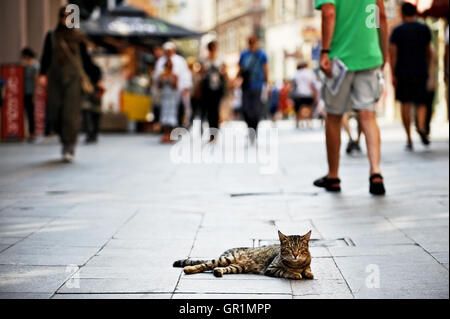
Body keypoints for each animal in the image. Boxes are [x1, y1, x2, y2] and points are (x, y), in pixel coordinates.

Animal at [172, 230, 312, 280]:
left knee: (218, 268)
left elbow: (308, 269)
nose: (295, 254)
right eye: (289, 248)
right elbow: (286, 271)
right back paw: (189, 269)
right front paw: (295, 274)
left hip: (237, 267)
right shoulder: (271, 268)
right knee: (205, 264)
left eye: (300, 249)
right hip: (226, 259)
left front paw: (308, 273)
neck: (297, 264)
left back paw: (218, 272)